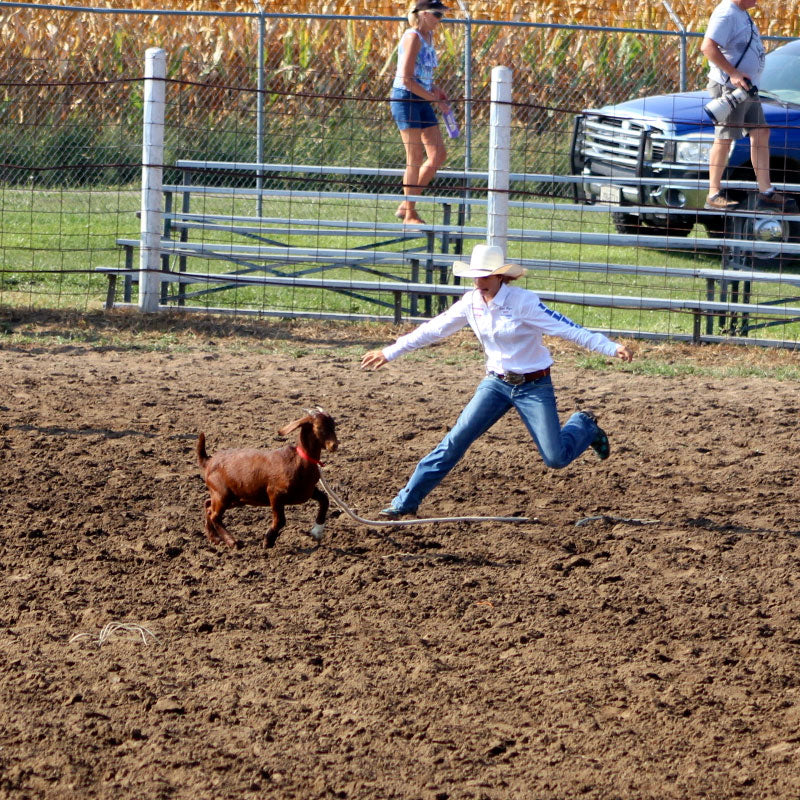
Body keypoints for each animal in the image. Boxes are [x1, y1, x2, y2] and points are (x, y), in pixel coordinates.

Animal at [196, 409, 338, 550]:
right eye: (319, 427)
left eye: (334, 426)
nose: (334, 445)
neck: (299, 460)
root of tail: (208, 461)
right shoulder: (275, 494)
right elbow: (280, 520)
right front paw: (268, 540)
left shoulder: (308, 491)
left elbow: (324, 499)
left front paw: (317, 531)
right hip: (223, 494)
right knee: (215, 516)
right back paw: (232, 542)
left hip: (236, 497)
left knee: (208, 506)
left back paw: (214, 538)